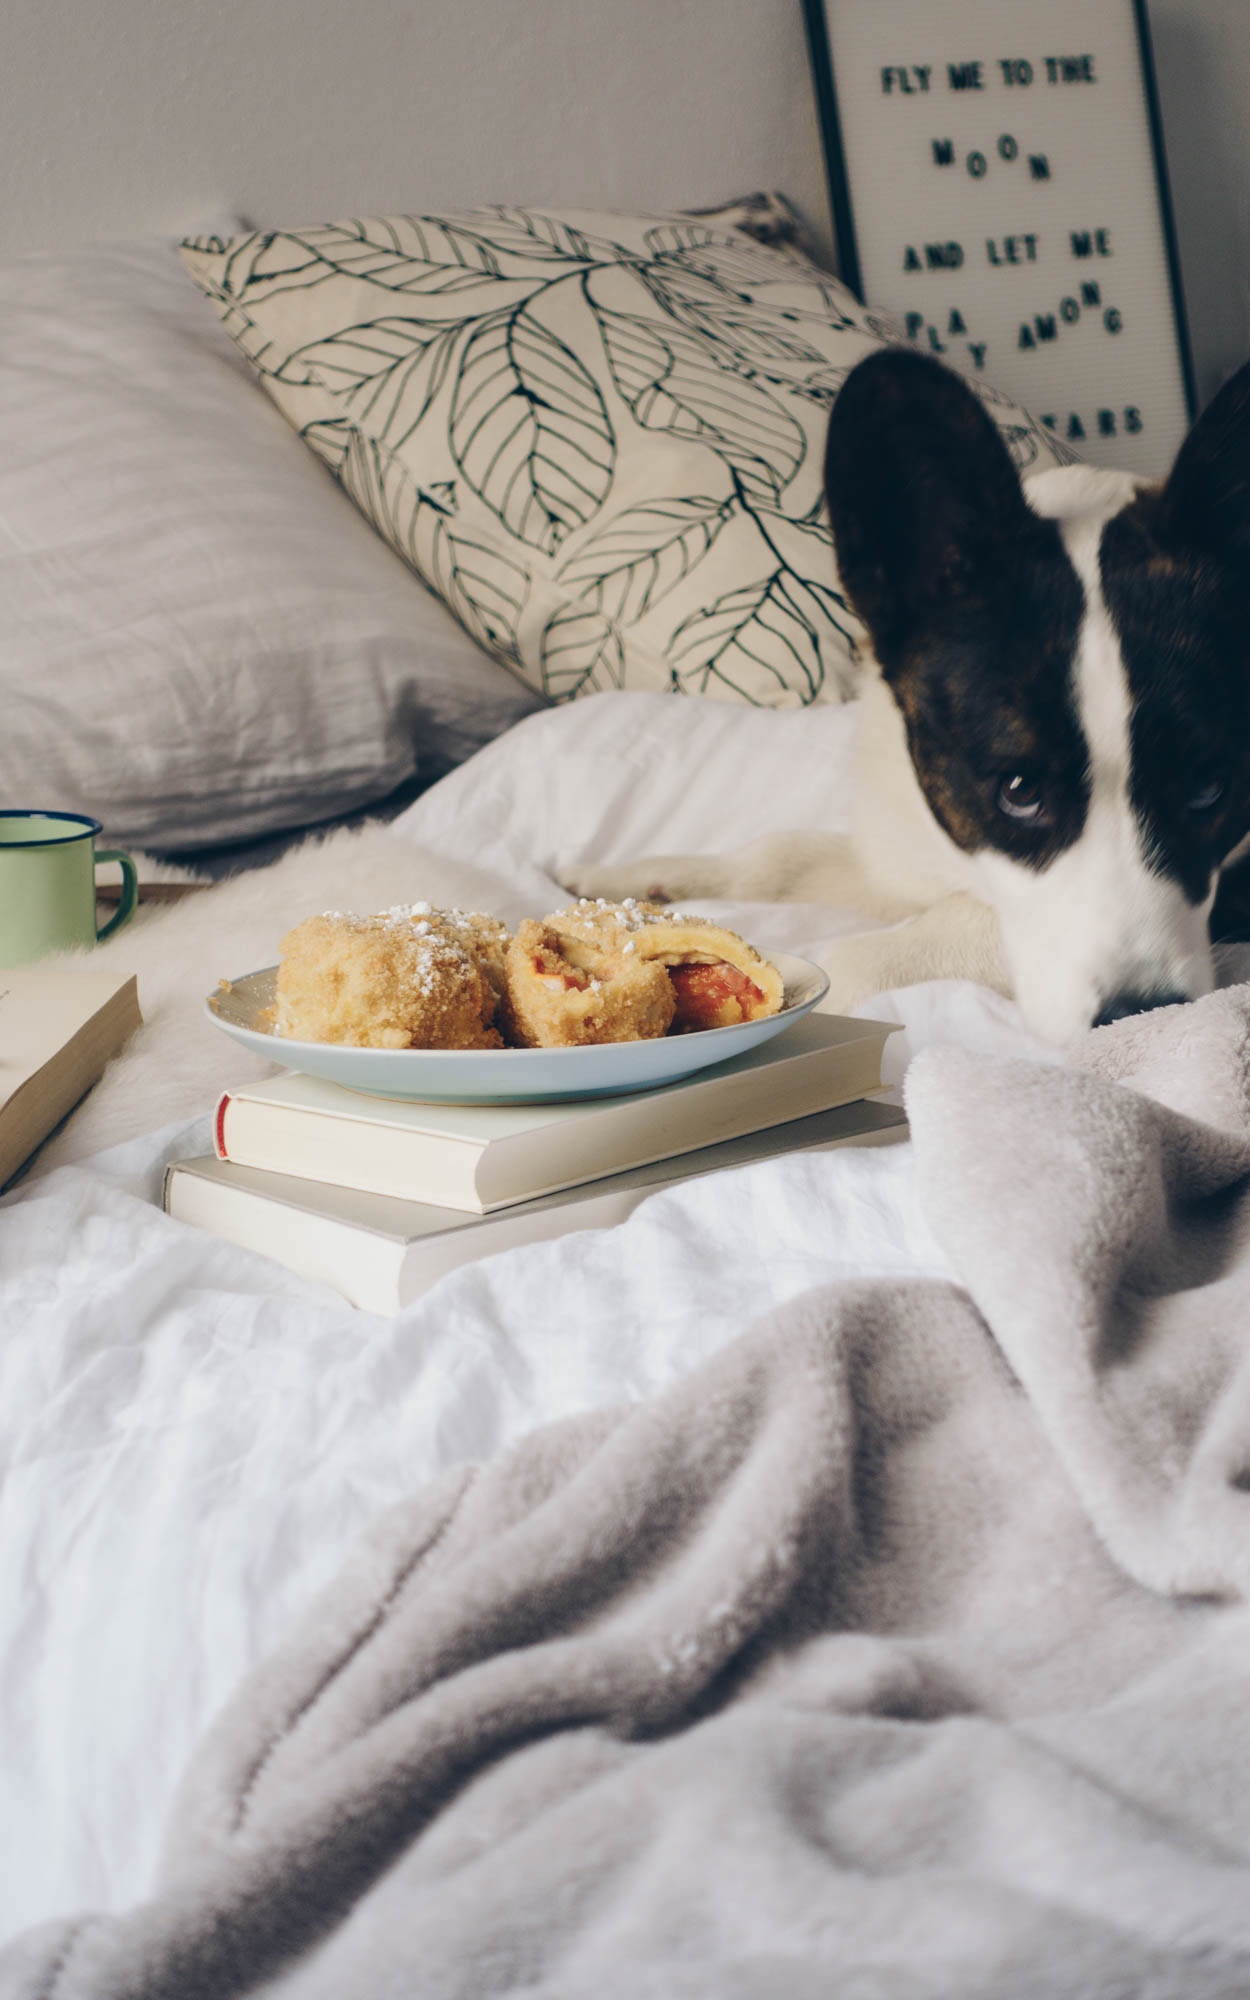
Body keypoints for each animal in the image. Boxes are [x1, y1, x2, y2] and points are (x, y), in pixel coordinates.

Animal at [572, 344, 1248, 1040]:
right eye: (1019, 790)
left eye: (1210, 788)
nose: (1141, 1019)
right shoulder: (897, 851)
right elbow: (778, 854)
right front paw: (629, 883)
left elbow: (859, 957)